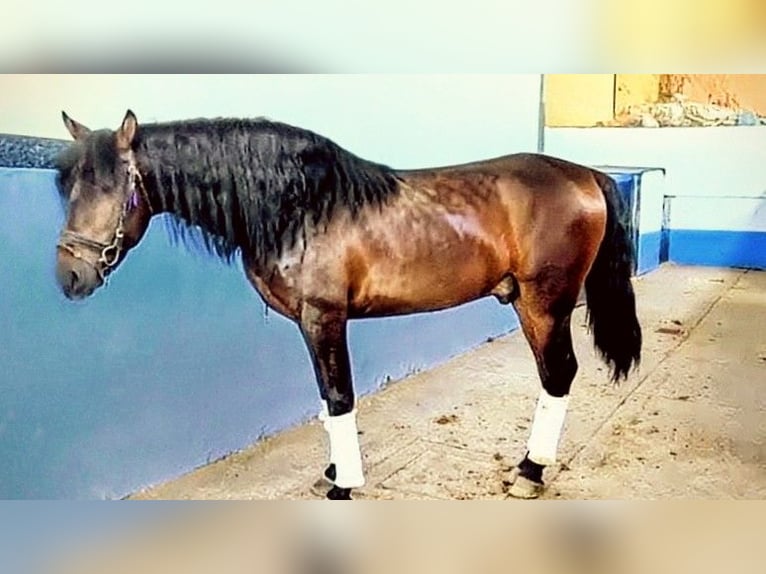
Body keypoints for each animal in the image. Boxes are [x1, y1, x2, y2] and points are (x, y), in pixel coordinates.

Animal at [54, 110, 641, 500]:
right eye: (69, 189)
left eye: (113, 188)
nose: (70, 276)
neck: (299, 206)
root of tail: (586, 174)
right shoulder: (310, 325)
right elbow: (324, 397)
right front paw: (333, 473)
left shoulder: (325, 318)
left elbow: (339, 398)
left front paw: (345, 485)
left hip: (545, 304)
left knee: (558, 374)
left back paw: (529, 472)